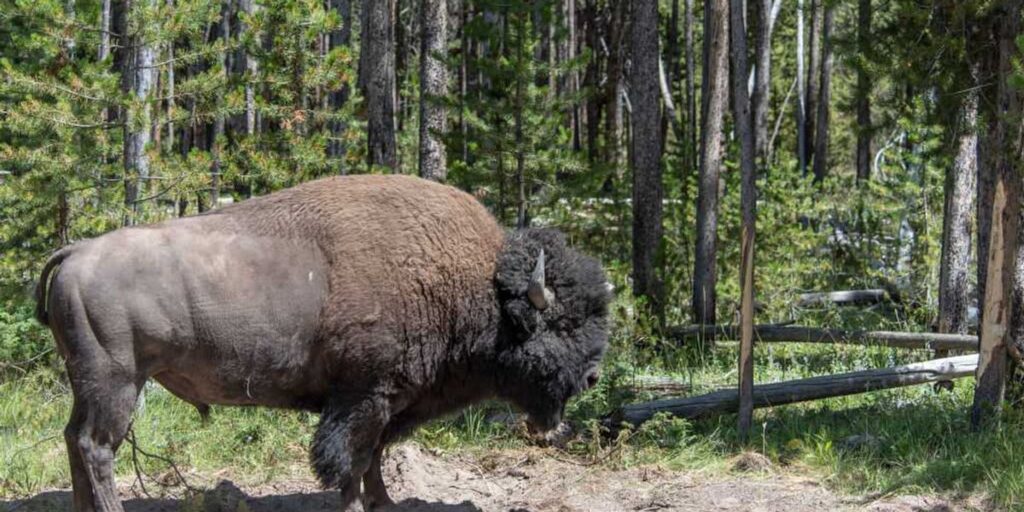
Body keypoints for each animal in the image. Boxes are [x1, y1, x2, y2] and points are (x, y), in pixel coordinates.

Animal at [35, 175, 611, 512]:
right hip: (117, 382)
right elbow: (349, 461)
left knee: (74, 440)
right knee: (97, 447)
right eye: (561, 325)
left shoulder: (386, 401)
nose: (591, 376)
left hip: (90, 383)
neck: (475, 284)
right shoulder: (363, 396)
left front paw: (385, 504)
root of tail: (75, 252)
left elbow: (373, 458)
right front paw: (359, 506)